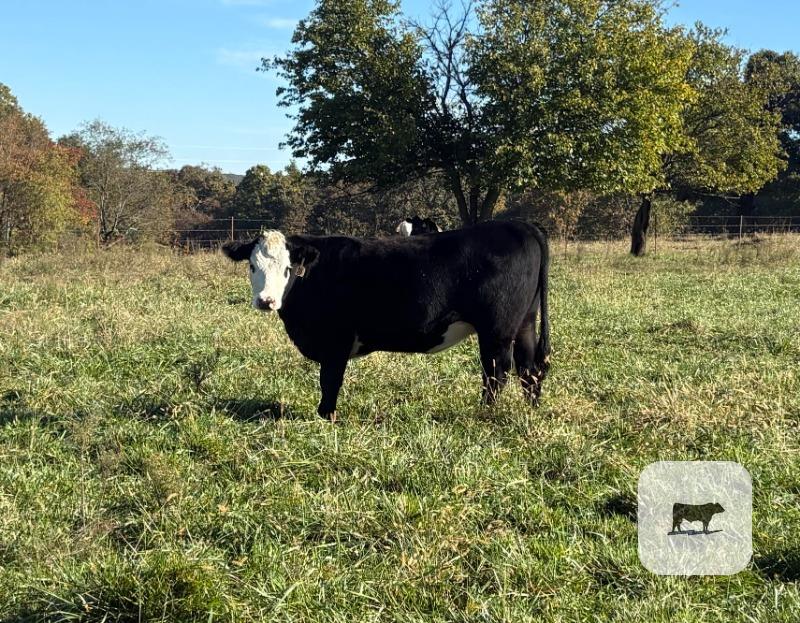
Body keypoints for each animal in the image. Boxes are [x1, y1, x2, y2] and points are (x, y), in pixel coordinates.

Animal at [222, 220, 550, 421]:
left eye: (288, 268)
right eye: (252, 266)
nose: (266, 301)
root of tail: (521, 225)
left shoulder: (336, 341)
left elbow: (330, 380)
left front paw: (326, 415)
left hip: (497, 329)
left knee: (497, 373)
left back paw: (486, 412)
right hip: (525, 322)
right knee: (529, 369)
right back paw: (532, 409)